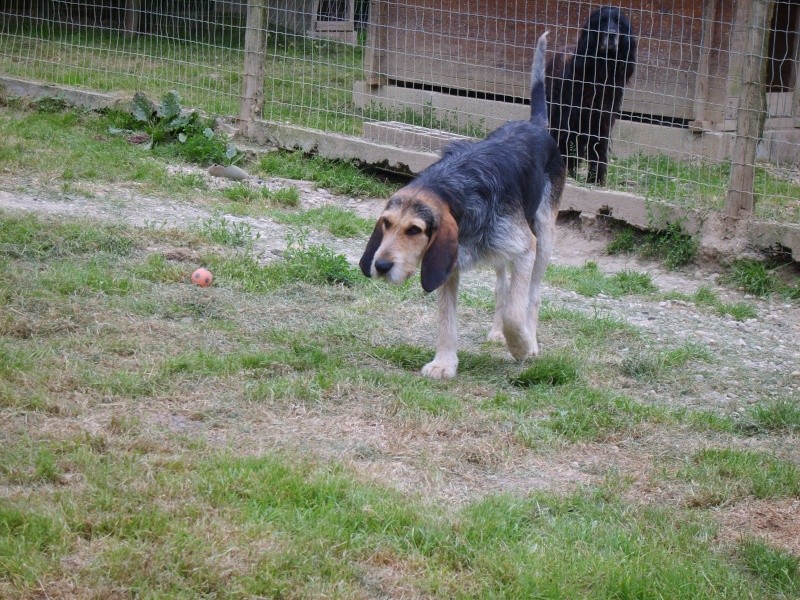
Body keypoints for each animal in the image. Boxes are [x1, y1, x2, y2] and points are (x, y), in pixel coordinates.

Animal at [360, 30, 564, 378]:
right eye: (386, 224)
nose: (381, 266)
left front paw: (521, 346)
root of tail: (535, 125)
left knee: (531, 294)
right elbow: (447, 320)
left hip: (543, 237)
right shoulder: (448, 264)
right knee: (503, 287)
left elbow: (515, 311)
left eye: (414, 230)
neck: (454, 187)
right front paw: (445, 363)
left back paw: (529, 338)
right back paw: (497, 332)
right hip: (502, 253)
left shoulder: (525, 248)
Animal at [548, 6, 636, 185]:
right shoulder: (569, 118)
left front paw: (596, 179)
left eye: (620, 23)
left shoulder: (602, 121)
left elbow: (599, 149)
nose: (611, 34)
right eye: (602, 21)